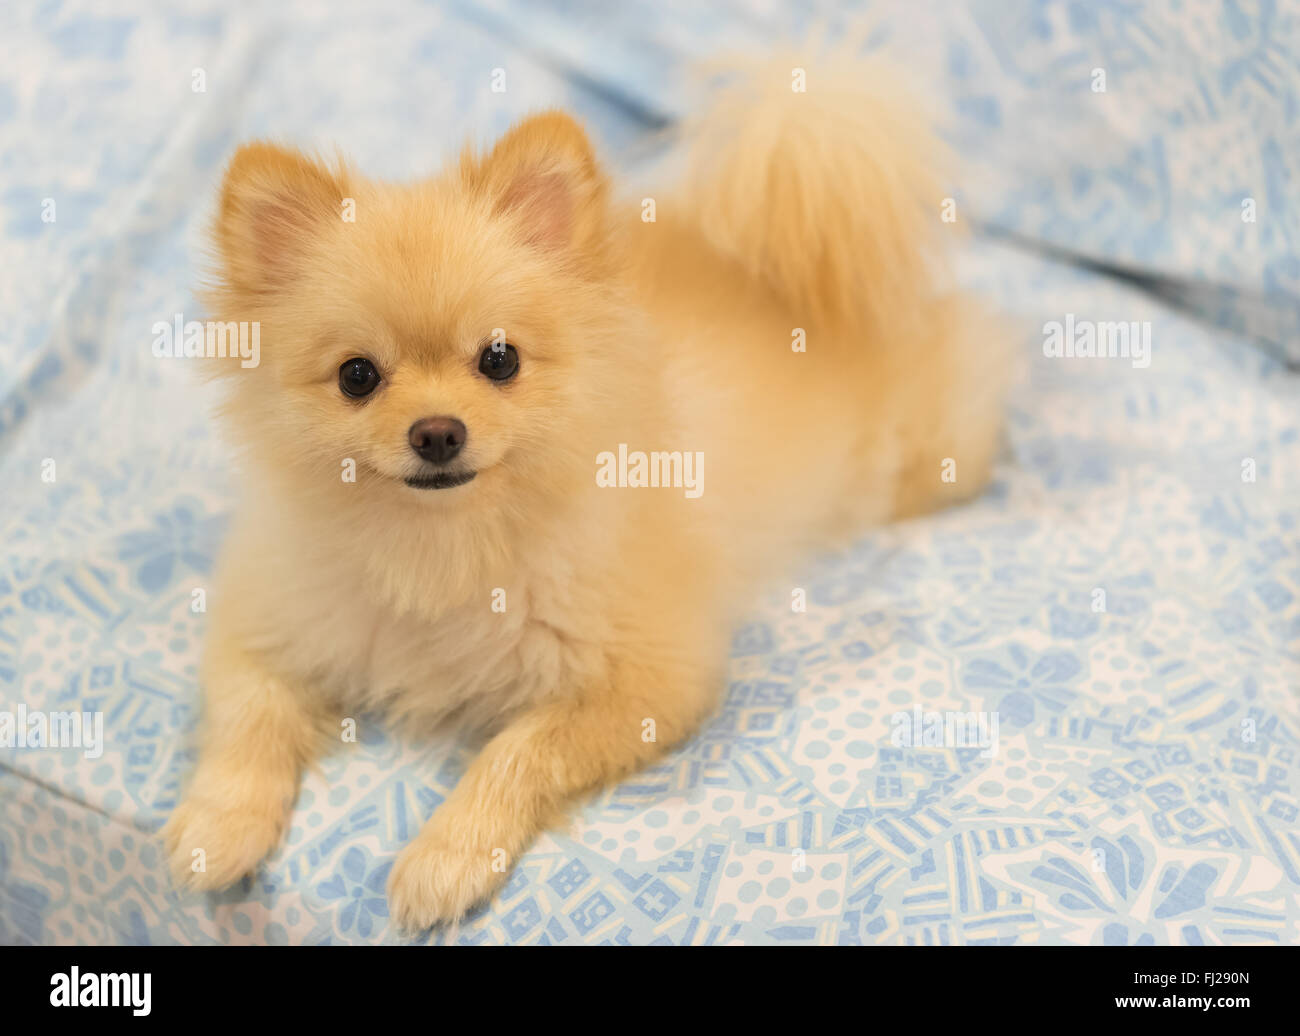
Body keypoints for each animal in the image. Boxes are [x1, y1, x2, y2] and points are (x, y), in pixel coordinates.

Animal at [165, 54, 1003, 930]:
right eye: (357, 376)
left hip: (921, 454)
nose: (437, 432)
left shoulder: (650, 680)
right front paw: (221, 825)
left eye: (499, 360)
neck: (445, 544)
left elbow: (517, 749)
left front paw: (448, 854)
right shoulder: (265, 617)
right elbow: (248, 718)